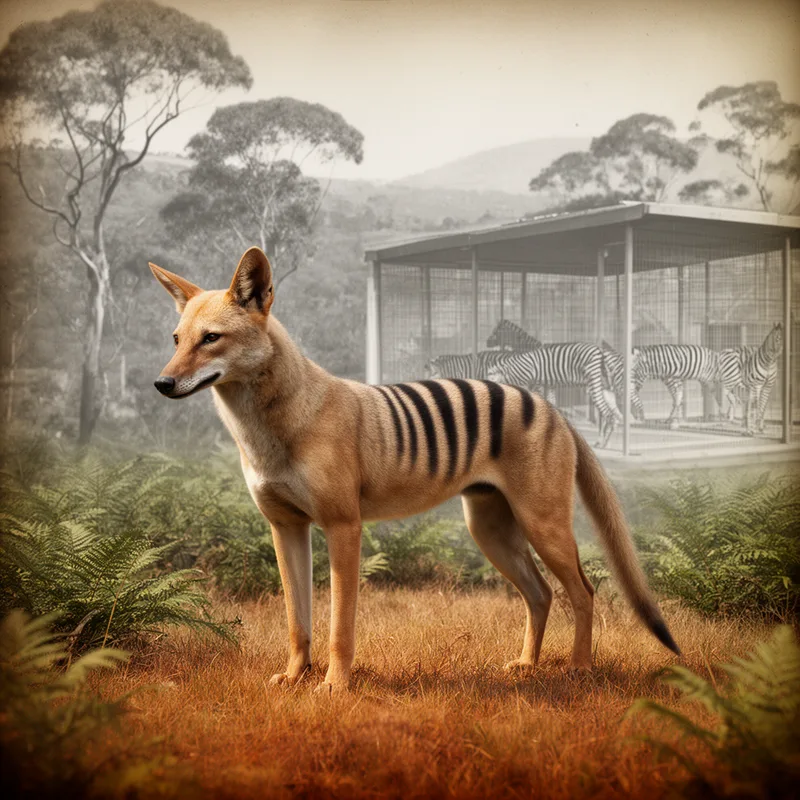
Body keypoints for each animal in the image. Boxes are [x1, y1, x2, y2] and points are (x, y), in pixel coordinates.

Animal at [150, 247, 679, 692]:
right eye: (176, 339)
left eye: (211, 339)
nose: (162, 383)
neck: (272, 427)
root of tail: (554, 409)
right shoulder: (286, 529)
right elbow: (297, 622)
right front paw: (295, 677)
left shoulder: (343, 527)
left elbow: (339, 625)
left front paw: (334, 687)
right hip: (491, 530)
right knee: (541, 594)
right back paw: (527, 666)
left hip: (542, 525)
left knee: (583, 592)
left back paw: (580, 668)